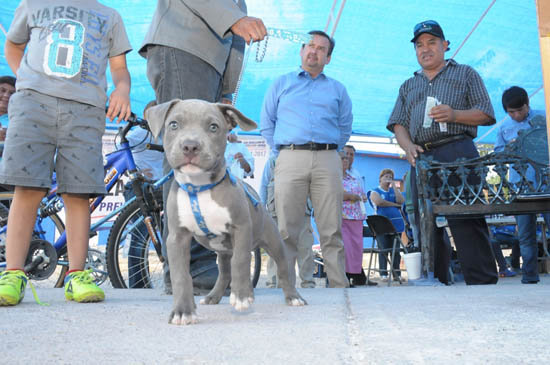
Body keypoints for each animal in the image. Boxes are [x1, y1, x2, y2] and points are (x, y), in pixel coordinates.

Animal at [147, 98, 308, 322]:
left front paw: (240, 297)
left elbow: (241, 261)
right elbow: (181, 275)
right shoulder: (177, 238)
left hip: (273, 241)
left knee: (282, 267)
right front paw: (182, 311)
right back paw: (213, 297)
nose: (190, 146)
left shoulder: (241, 227)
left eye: (213, 127)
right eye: (173, 124)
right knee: (224, 273)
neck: (200, 187)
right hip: (222, 250)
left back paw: (292, 297)